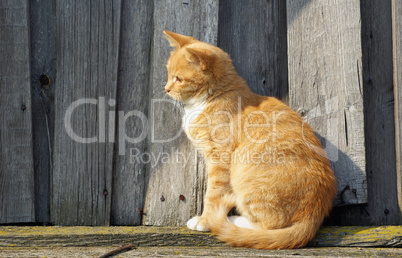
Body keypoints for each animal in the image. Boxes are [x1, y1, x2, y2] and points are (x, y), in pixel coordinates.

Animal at [163, 30, 336, 250]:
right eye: (169, 74)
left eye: (178, 79)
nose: (166, 89)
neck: (210, 98)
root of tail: (315, 215)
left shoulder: (219, 160)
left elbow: (213, 193)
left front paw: (205, 220)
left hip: (245, 177)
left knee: (267, 226)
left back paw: (232, 220)